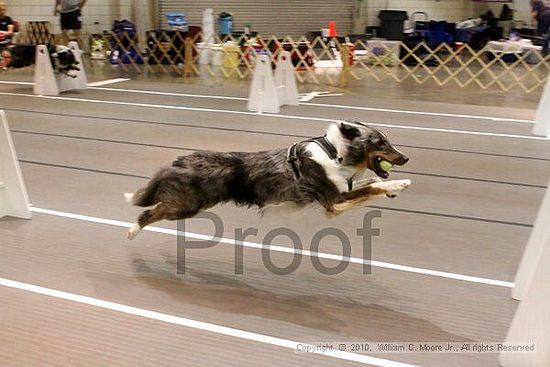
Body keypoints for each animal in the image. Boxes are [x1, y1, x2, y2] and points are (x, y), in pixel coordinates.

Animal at [125, 122, 410, 240]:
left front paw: (391, 190)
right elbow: (373, 185)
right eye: (380, 142)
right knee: (149, 212)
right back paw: (131, 231)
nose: (405, 158)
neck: (335, 153)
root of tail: (180, 160)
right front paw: (400, 184)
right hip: (186, 206)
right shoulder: (334, 203)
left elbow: (368, 183)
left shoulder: (340, 193)